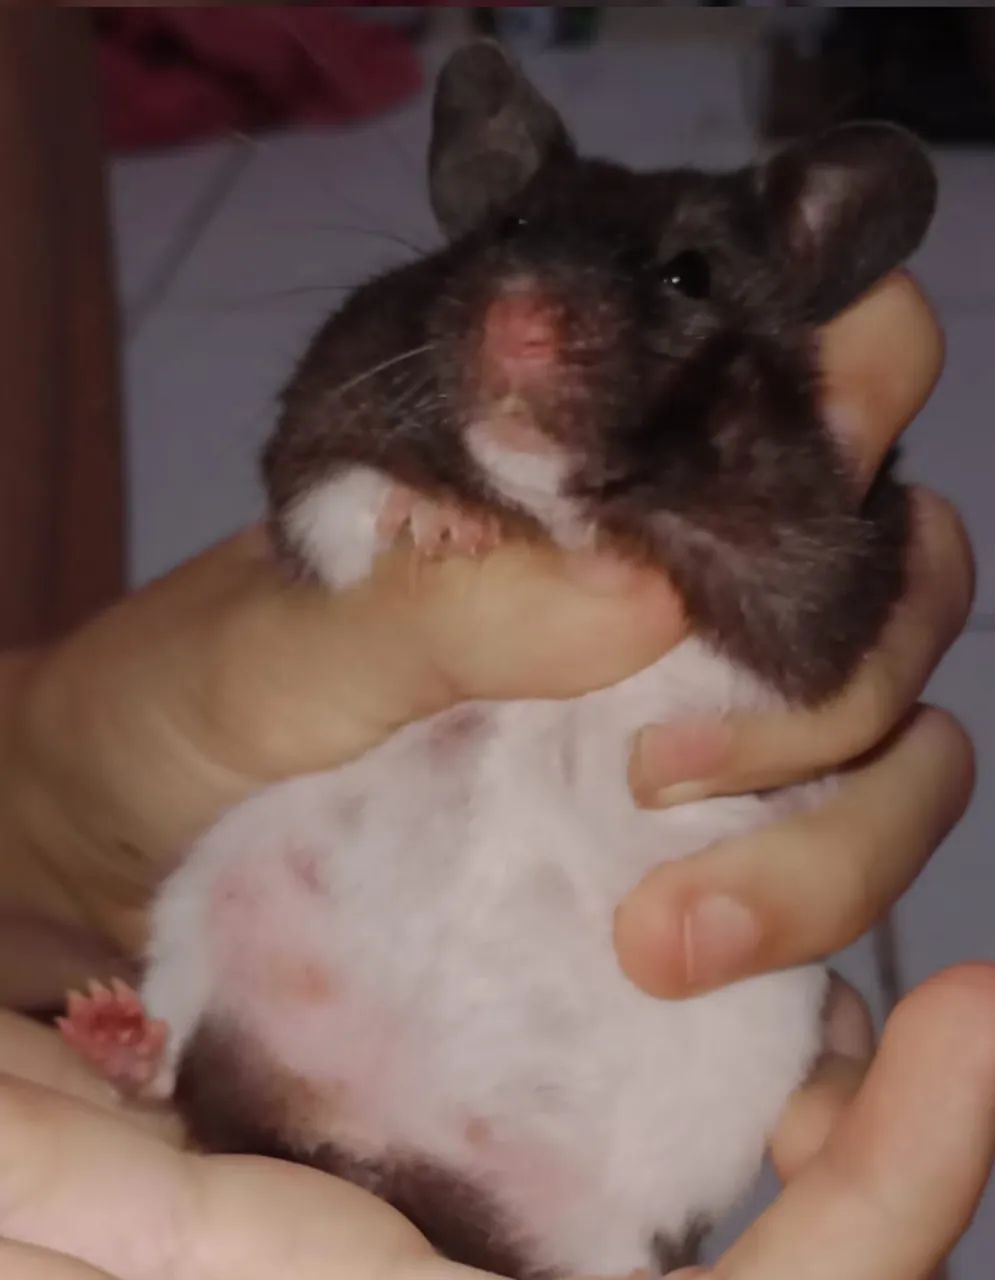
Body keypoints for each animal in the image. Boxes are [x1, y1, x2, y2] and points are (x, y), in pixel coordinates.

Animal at [60, 40, 936, 1280]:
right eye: (511, 227)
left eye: (688, 275)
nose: (518, 321)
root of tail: (369, 1139)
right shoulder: (330, 406)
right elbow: (342, 497)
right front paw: (444, 523)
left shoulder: (825, 589)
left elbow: (762, 587)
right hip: (205, 891)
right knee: (174, 1042)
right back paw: (111, 1033)